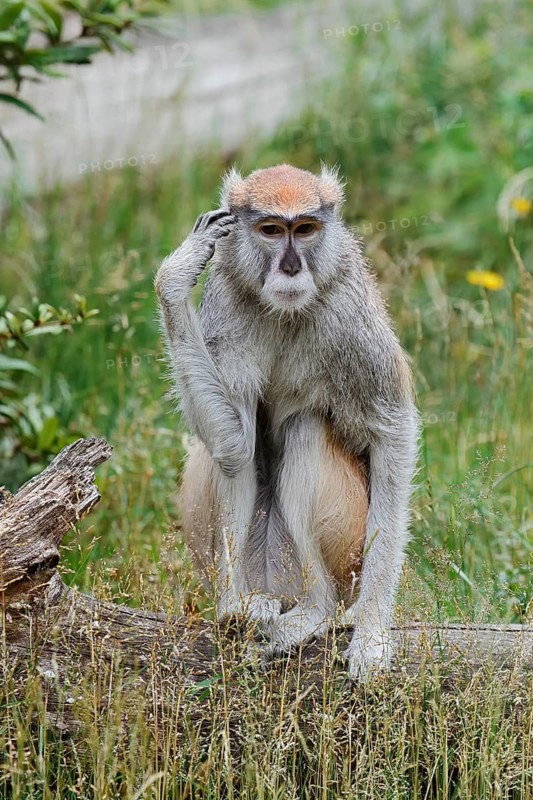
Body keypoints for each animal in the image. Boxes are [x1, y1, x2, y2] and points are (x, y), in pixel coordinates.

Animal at [155, 164, 419, 679]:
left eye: (306, 229)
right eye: (272, 230)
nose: (292, 267)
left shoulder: (350, 317)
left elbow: (391, 432)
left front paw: (372, 634)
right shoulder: (228, 299)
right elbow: (235, 444)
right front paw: (177, 272)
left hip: (346, 550)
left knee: (307, 430)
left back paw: (318, 609)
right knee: (232, 458)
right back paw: (239, 607)